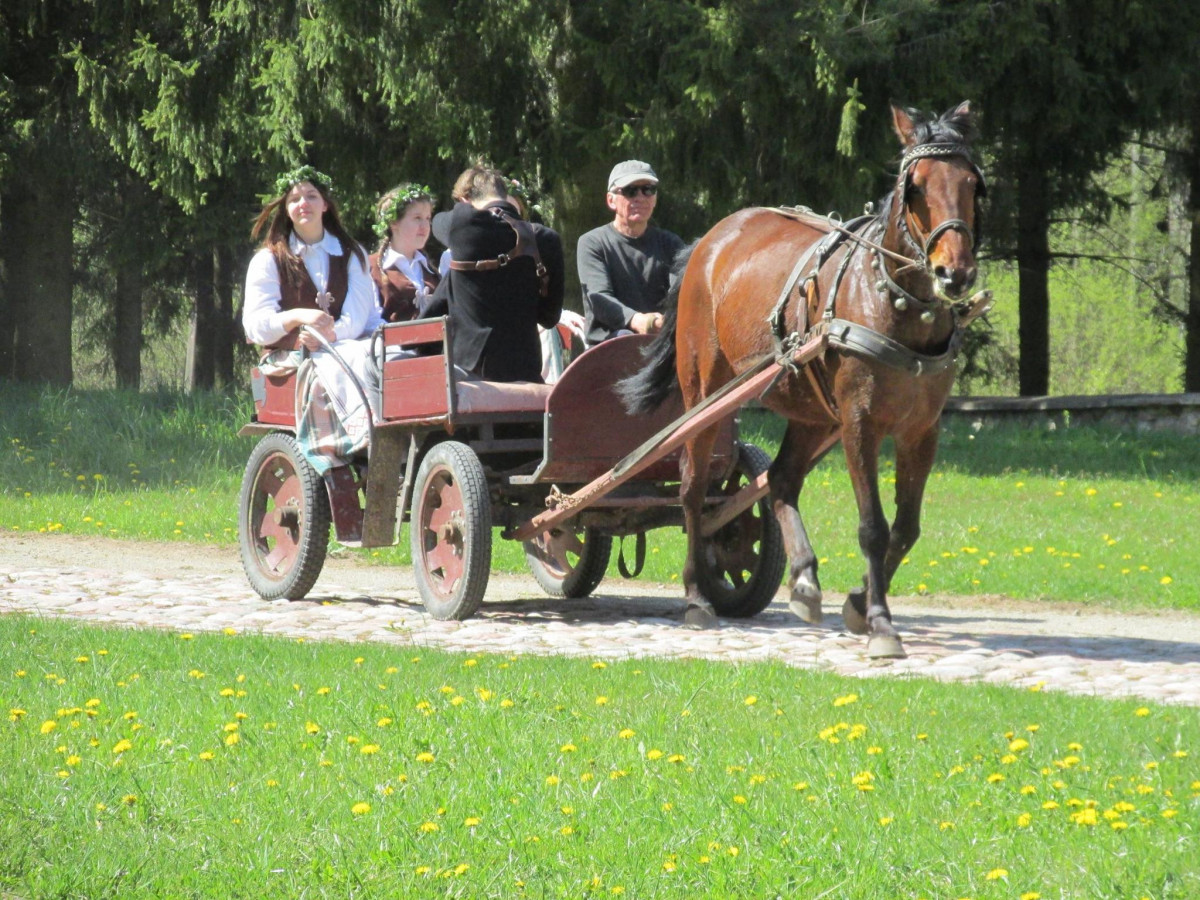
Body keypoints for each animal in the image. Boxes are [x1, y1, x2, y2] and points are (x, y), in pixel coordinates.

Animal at [624, 102, 988, 657]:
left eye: (972, 183)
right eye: (917, 186)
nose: (955, 273)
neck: (895, 303)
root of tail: (709, 240)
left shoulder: (922, 430)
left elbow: (906, 528)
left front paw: (858, 602)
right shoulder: (860, 423)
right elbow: (873, 527)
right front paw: (881, 622)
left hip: (812, 412)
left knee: (780, 481)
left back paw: (803, 579)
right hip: (703, 392)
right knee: (691, 489)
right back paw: (696, 597)